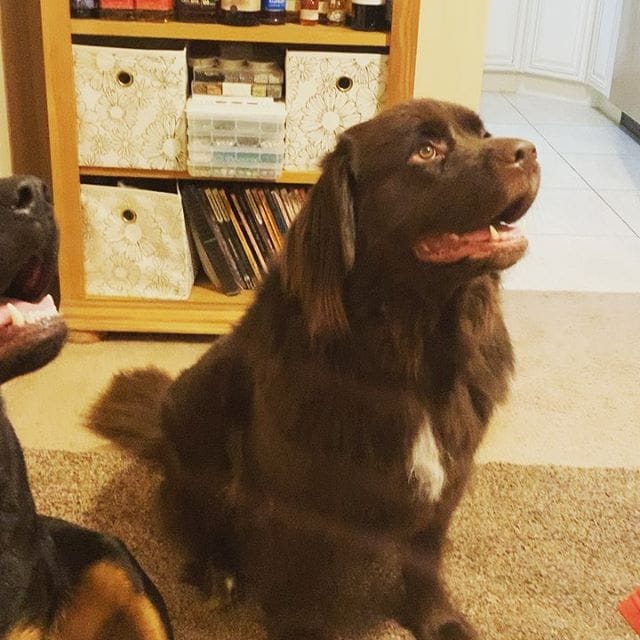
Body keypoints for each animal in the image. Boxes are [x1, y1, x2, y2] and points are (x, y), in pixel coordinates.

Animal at [88, 98, 540, 640]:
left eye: (483, 134)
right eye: (426, 151)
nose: (528, 151)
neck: (410, 349)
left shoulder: (447, 479)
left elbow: (424, 564)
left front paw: (439, 621)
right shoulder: (294, 501)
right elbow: (297, 586)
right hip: (195, 412)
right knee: (199, 525)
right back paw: (219, 573)